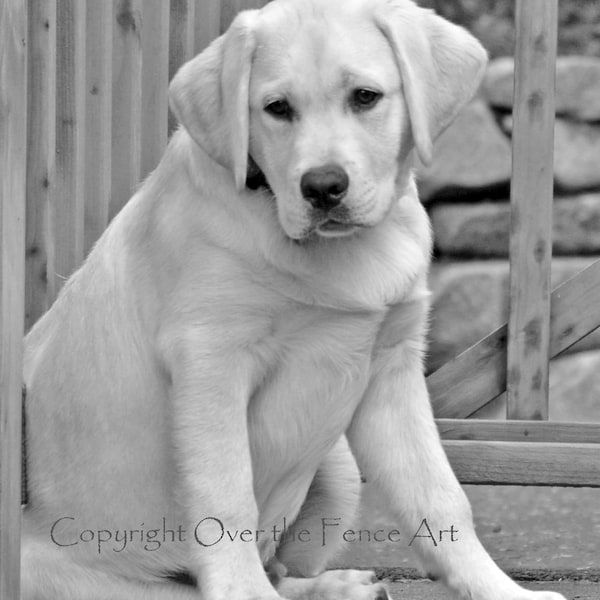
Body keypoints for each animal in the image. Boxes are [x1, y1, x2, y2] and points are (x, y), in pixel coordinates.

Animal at [23, 1, 564, 600]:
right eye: (277, 109)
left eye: (366, 97)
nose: (323, 187)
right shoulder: (210, 362)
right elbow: (227, 498)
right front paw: (244, 592)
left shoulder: (392, 369)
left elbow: (441, 495)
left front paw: (502, 589)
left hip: (341, 467)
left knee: (282, 570)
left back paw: (344, 586)